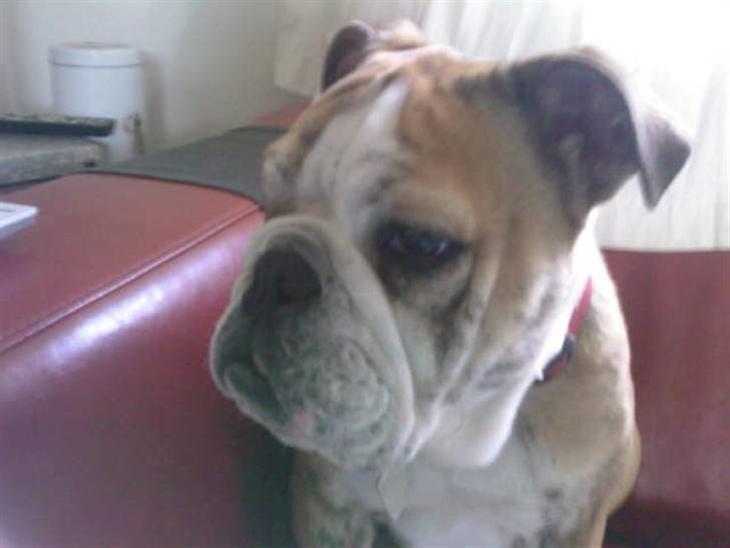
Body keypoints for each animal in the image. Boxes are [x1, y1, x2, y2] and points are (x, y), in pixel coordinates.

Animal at [210, 20, 689, 547]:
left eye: (421, 244)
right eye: (268, 195)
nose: (275, 272)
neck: (457, 439)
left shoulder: (576, 527)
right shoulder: (327, 506)